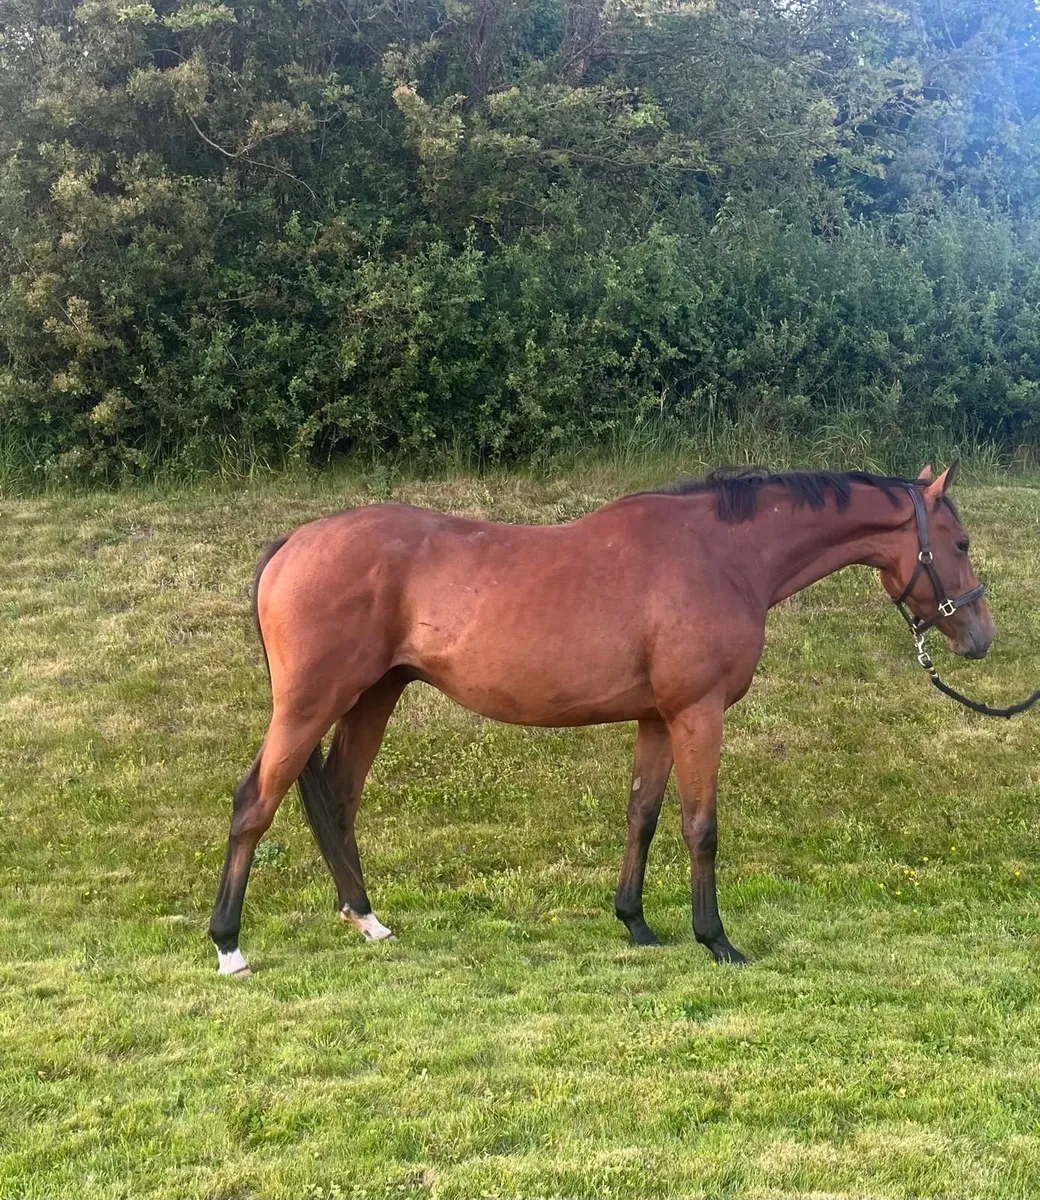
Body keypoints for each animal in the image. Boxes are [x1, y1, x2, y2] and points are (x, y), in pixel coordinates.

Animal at [208, 463, 993, 976]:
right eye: (960, 544)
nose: (980, 636)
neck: (722, 554)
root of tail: (291, 544)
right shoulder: (698, 713)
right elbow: (700, 826)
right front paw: (717, 940)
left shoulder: (658, 719)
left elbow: (642, 814)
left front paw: (636, 923)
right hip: (310, 704)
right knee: (255, 804)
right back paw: (229, 946)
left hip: (374, 696)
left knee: (337, 800)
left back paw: (366, 918)